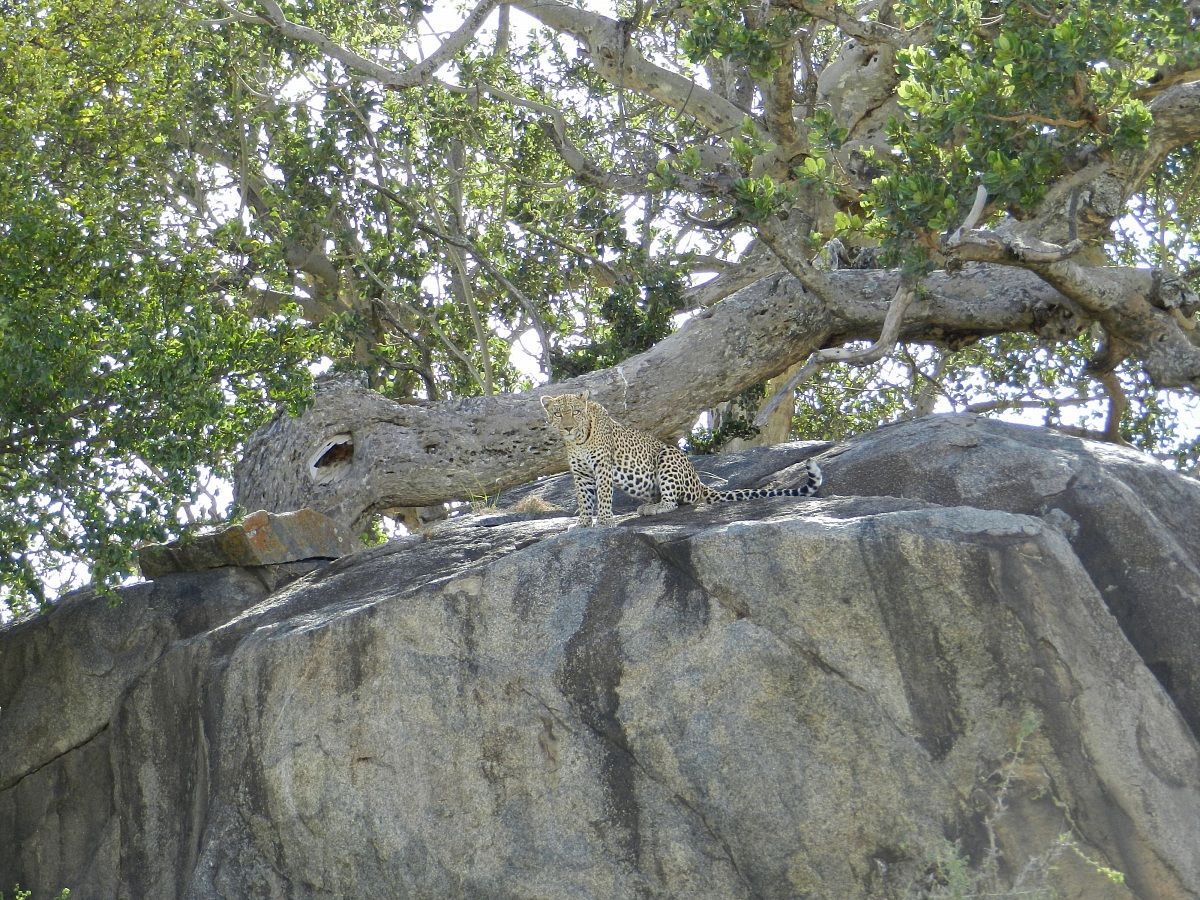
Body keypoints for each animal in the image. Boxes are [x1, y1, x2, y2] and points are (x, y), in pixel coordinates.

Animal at [540, 390, 822, 527]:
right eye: (558, 414)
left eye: (576, 412)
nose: (567, 427)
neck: (578, 440)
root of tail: (699, 482)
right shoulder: (581, 473)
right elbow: (584, 499)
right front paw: (583, 523)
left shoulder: (602, 467)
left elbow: (604, 495)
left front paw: (606, 520)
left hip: (668, 456)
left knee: (676, 502)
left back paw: (654, 507)